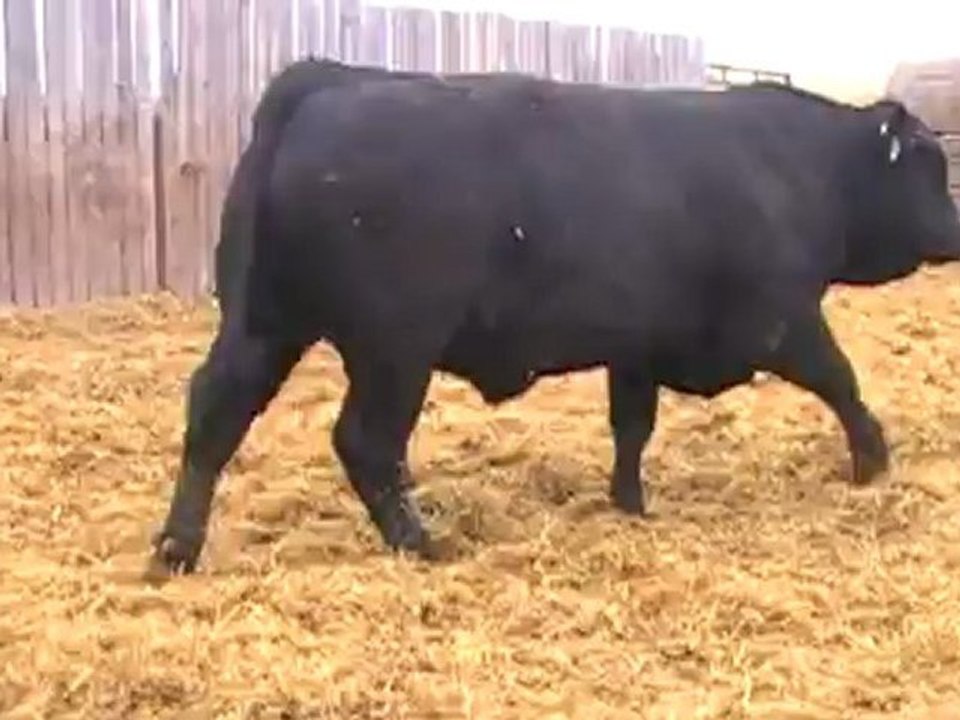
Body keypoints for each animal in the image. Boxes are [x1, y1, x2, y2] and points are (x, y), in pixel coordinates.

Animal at [147, 58, 960, 576]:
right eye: (929, 166)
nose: (956, 229)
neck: (800, 165)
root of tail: (327, 80)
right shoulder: (784, 319)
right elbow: (841, 380)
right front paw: (873, 461)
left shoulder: (636, 346)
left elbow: (631, 427)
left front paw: (629, 505)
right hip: (394, 349)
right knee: (366, 444)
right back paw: (419, 542)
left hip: (265, 325)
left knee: (215, 415)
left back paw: (177, 548)